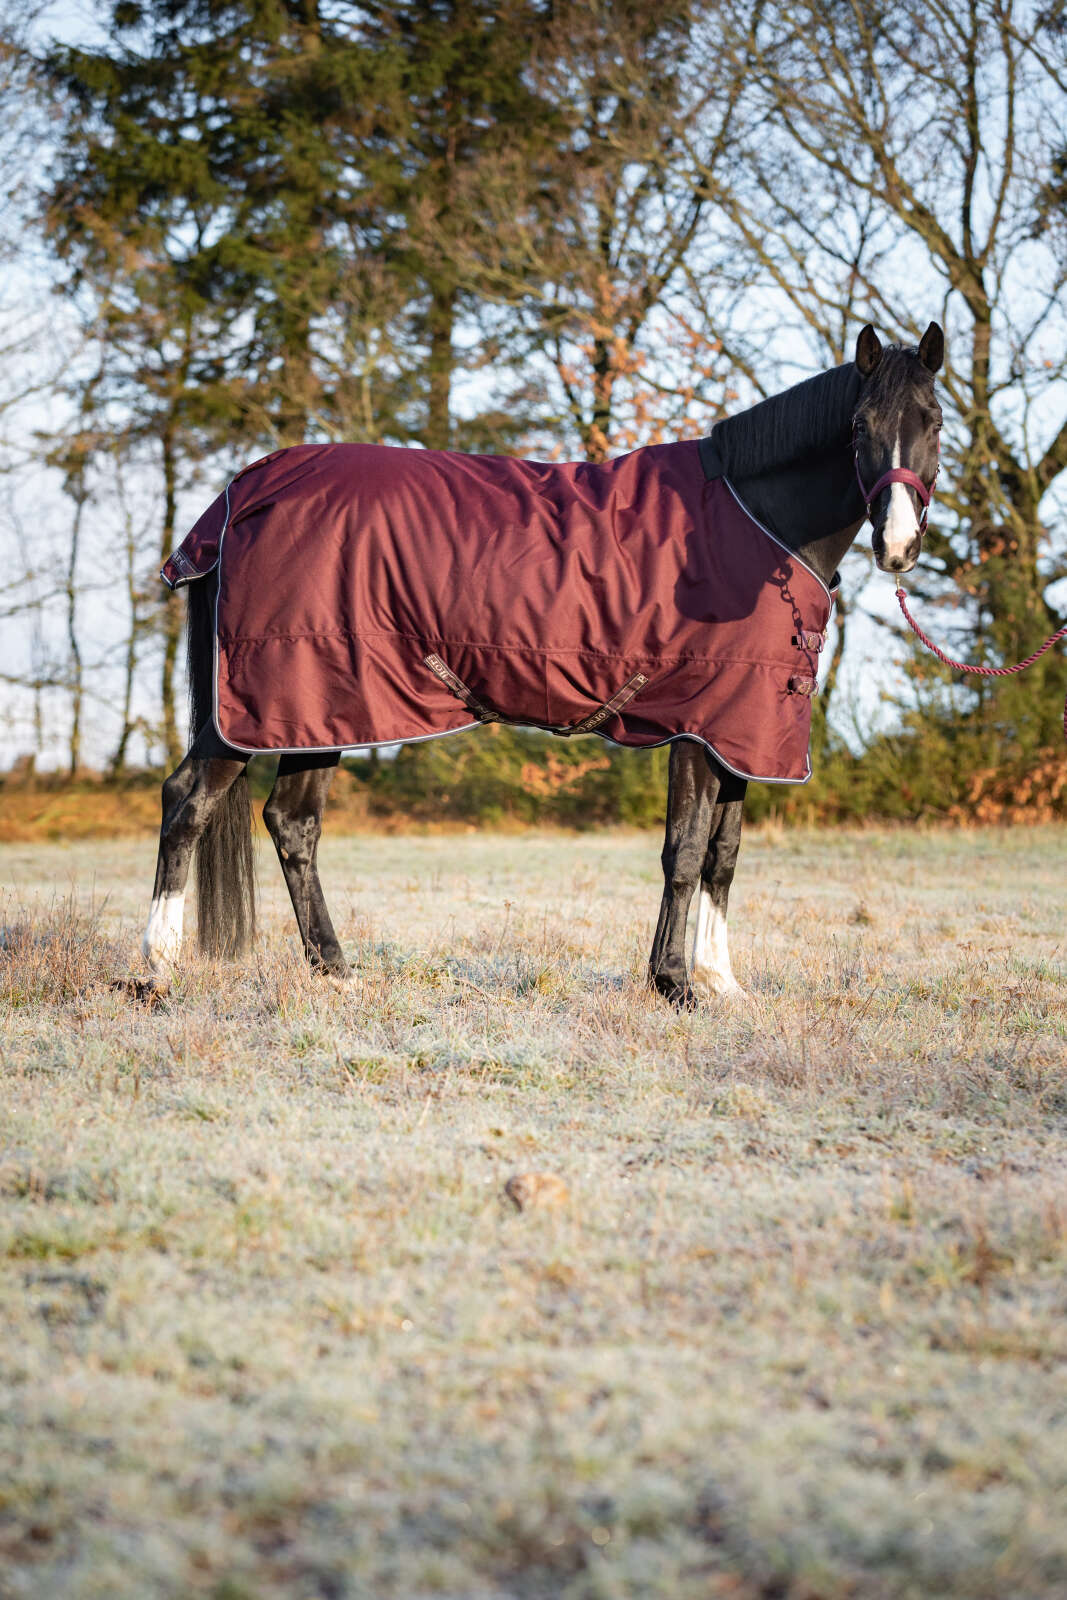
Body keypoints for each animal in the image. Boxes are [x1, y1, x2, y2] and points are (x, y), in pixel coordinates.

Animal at [142, 321, 944, 1002]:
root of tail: (239, 495)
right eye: (858, 427)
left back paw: (335, 970)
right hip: (257, 707)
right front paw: (673, 983)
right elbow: (684, 852)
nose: (898, 546)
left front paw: (723, 984)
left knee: (291, 825)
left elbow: (724, 854)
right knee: (186, 804)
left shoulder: (741, 732)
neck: (755, 519)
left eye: (933, 421)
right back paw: (157, 972)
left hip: (321, 709)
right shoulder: (698, 727)